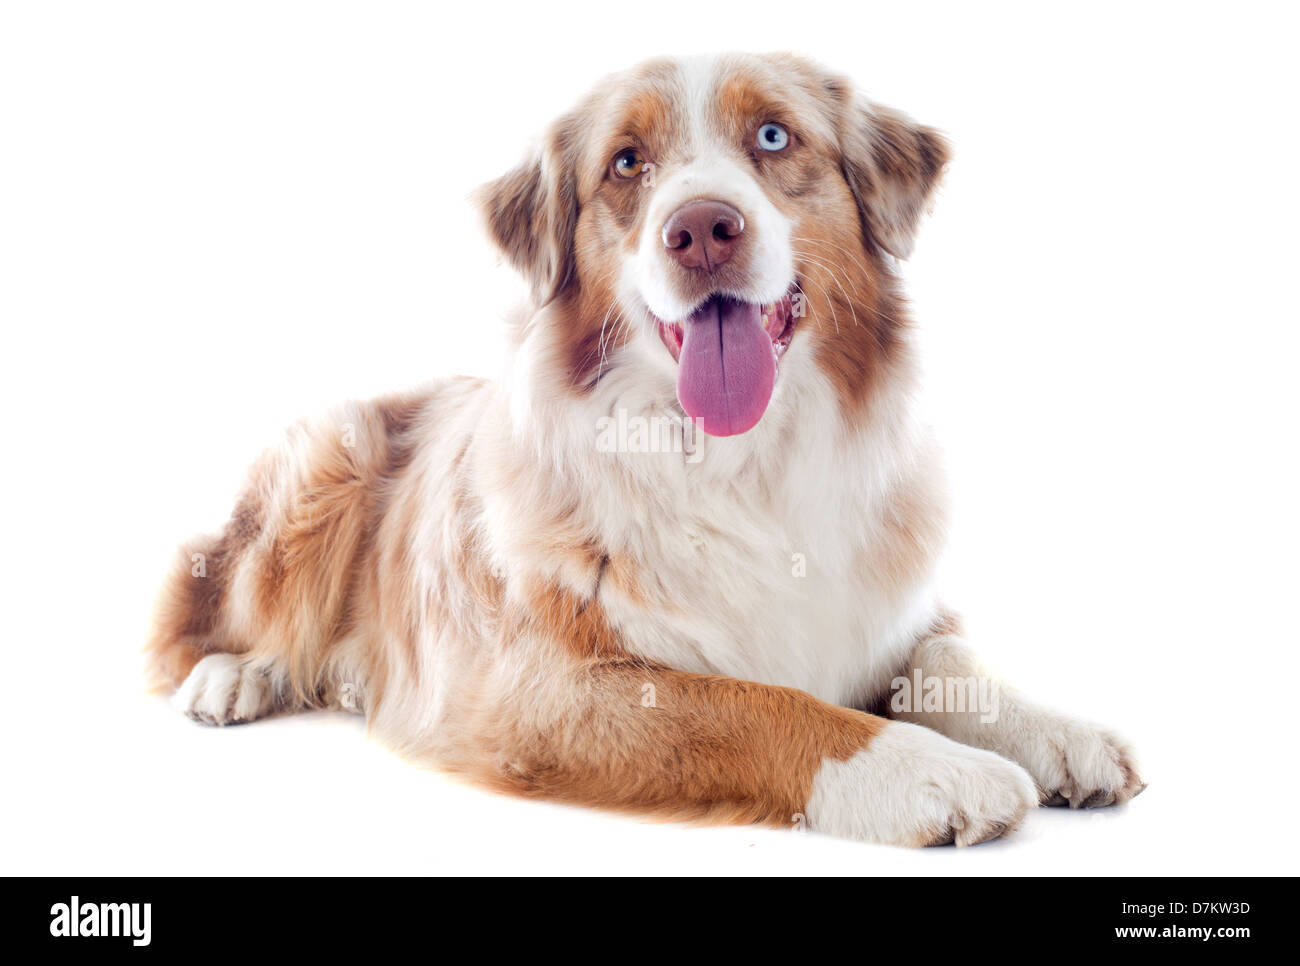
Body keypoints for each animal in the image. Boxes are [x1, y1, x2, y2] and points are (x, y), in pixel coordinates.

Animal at [149, 56, 1138, 847]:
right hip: (327, 462)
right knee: (207, 615)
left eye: (773, 136)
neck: (743, 464)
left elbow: (951, 661)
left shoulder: (894, 604)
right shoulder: (544, 689)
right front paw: (930, 769)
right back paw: (235, 677)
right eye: (627, 162)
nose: (700, 229)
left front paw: (1058, 729)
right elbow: (756, 705)